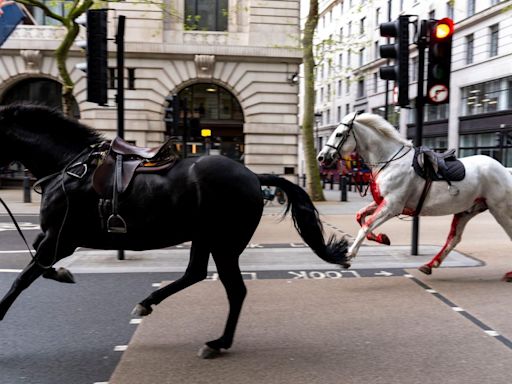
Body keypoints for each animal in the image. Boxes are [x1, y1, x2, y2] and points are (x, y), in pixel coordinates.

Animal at [0, 104, 348, 356]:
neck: (68, 167)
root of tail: (252, 175)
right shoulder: (53, 239)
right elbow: (36, 265)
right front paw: (62, 273)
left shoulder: (61, 239)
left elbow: (23, 278)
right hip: (205, 238)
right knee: (196, 273)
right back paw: (150, 303)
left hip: (224, 243)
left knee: (235, 289)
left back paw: (217, 343)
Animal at [316, 111, 512, 282]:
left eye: (339, 134)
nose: (321, 157)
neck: (390, 161)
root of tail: (504, 169)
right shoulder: (383, 202)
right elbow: (361, 217)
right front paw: (381, 238)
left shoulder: (392, 206)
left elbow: (366, 225)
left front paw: (348, 255)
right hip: (467, 210)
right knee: (454, 238)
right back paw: (430, 265)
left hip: (500, 210)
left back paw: (509, 274)